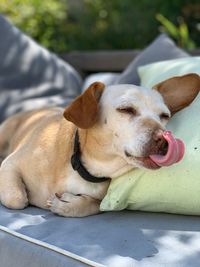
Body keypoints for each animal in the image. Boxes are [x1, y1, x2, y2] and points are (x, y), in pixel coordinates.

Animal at [0, 73, 199, 218]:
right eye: (126, 110)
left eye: (164, 116)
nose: (164, 139)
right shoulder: (10, 164)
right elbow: (17, 199)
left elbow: (96, 205)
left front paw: (70, 205)